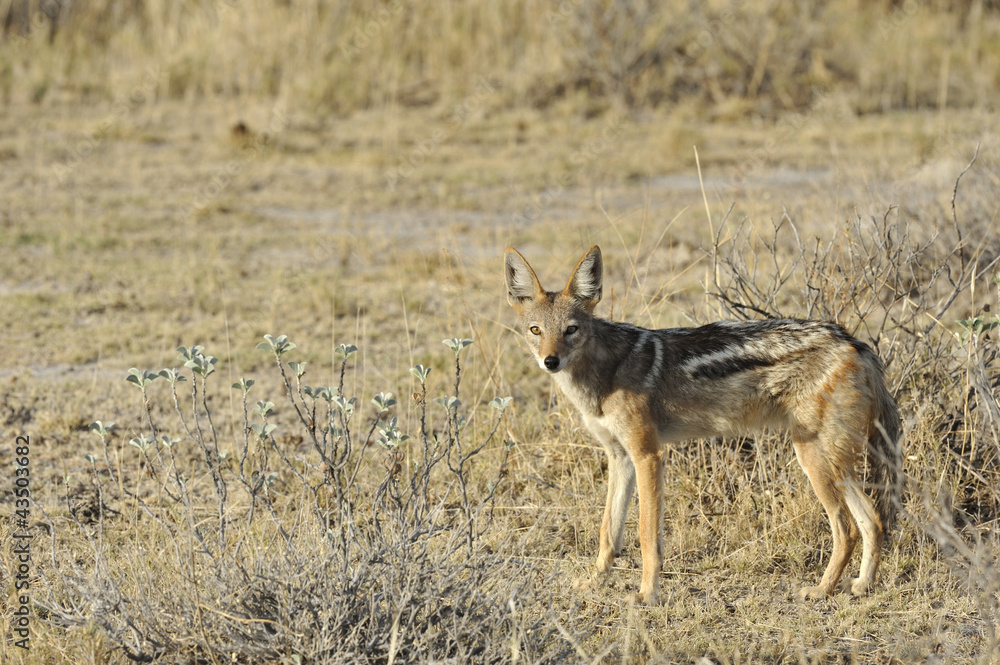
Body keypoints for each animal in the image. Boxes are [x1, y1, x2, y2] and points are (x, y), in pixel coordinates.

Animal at [504, 245, 902, 606]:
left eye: (571, 329)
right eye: (535, 330)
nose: (550, 361)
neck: (602, 374)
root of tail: (854, 341)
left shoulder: (649, 456)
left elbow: (647, 536)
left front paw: (646, 595)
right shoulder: (619, 458)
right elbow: (608, 533)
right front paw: (594, 584)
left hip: (814, 458)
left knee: (847, 528)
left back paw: (821, 590)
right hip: (833, 463)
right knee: (873, 520)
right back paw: (862, 586)